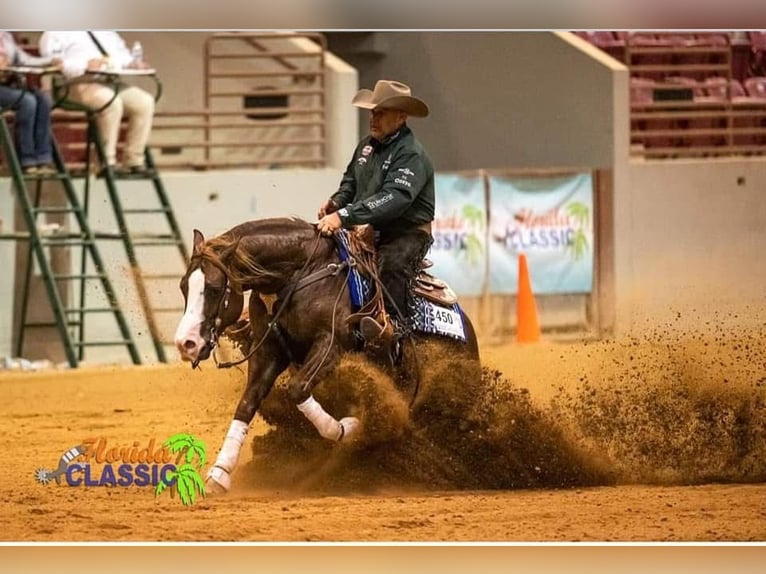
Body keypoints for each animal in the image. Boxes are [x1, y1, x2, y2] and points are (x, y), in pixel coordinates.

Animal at [173, 217, 481, 493]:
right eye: (183, 286)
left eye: (214, 289)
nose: (185, 343)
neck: (300, 273)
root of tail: (467, 328)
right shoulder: (269, 352)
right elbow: (247, 403)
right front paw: (220, 472)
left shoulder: (330, 345)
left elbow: (298, 389)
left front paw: (348, 428)